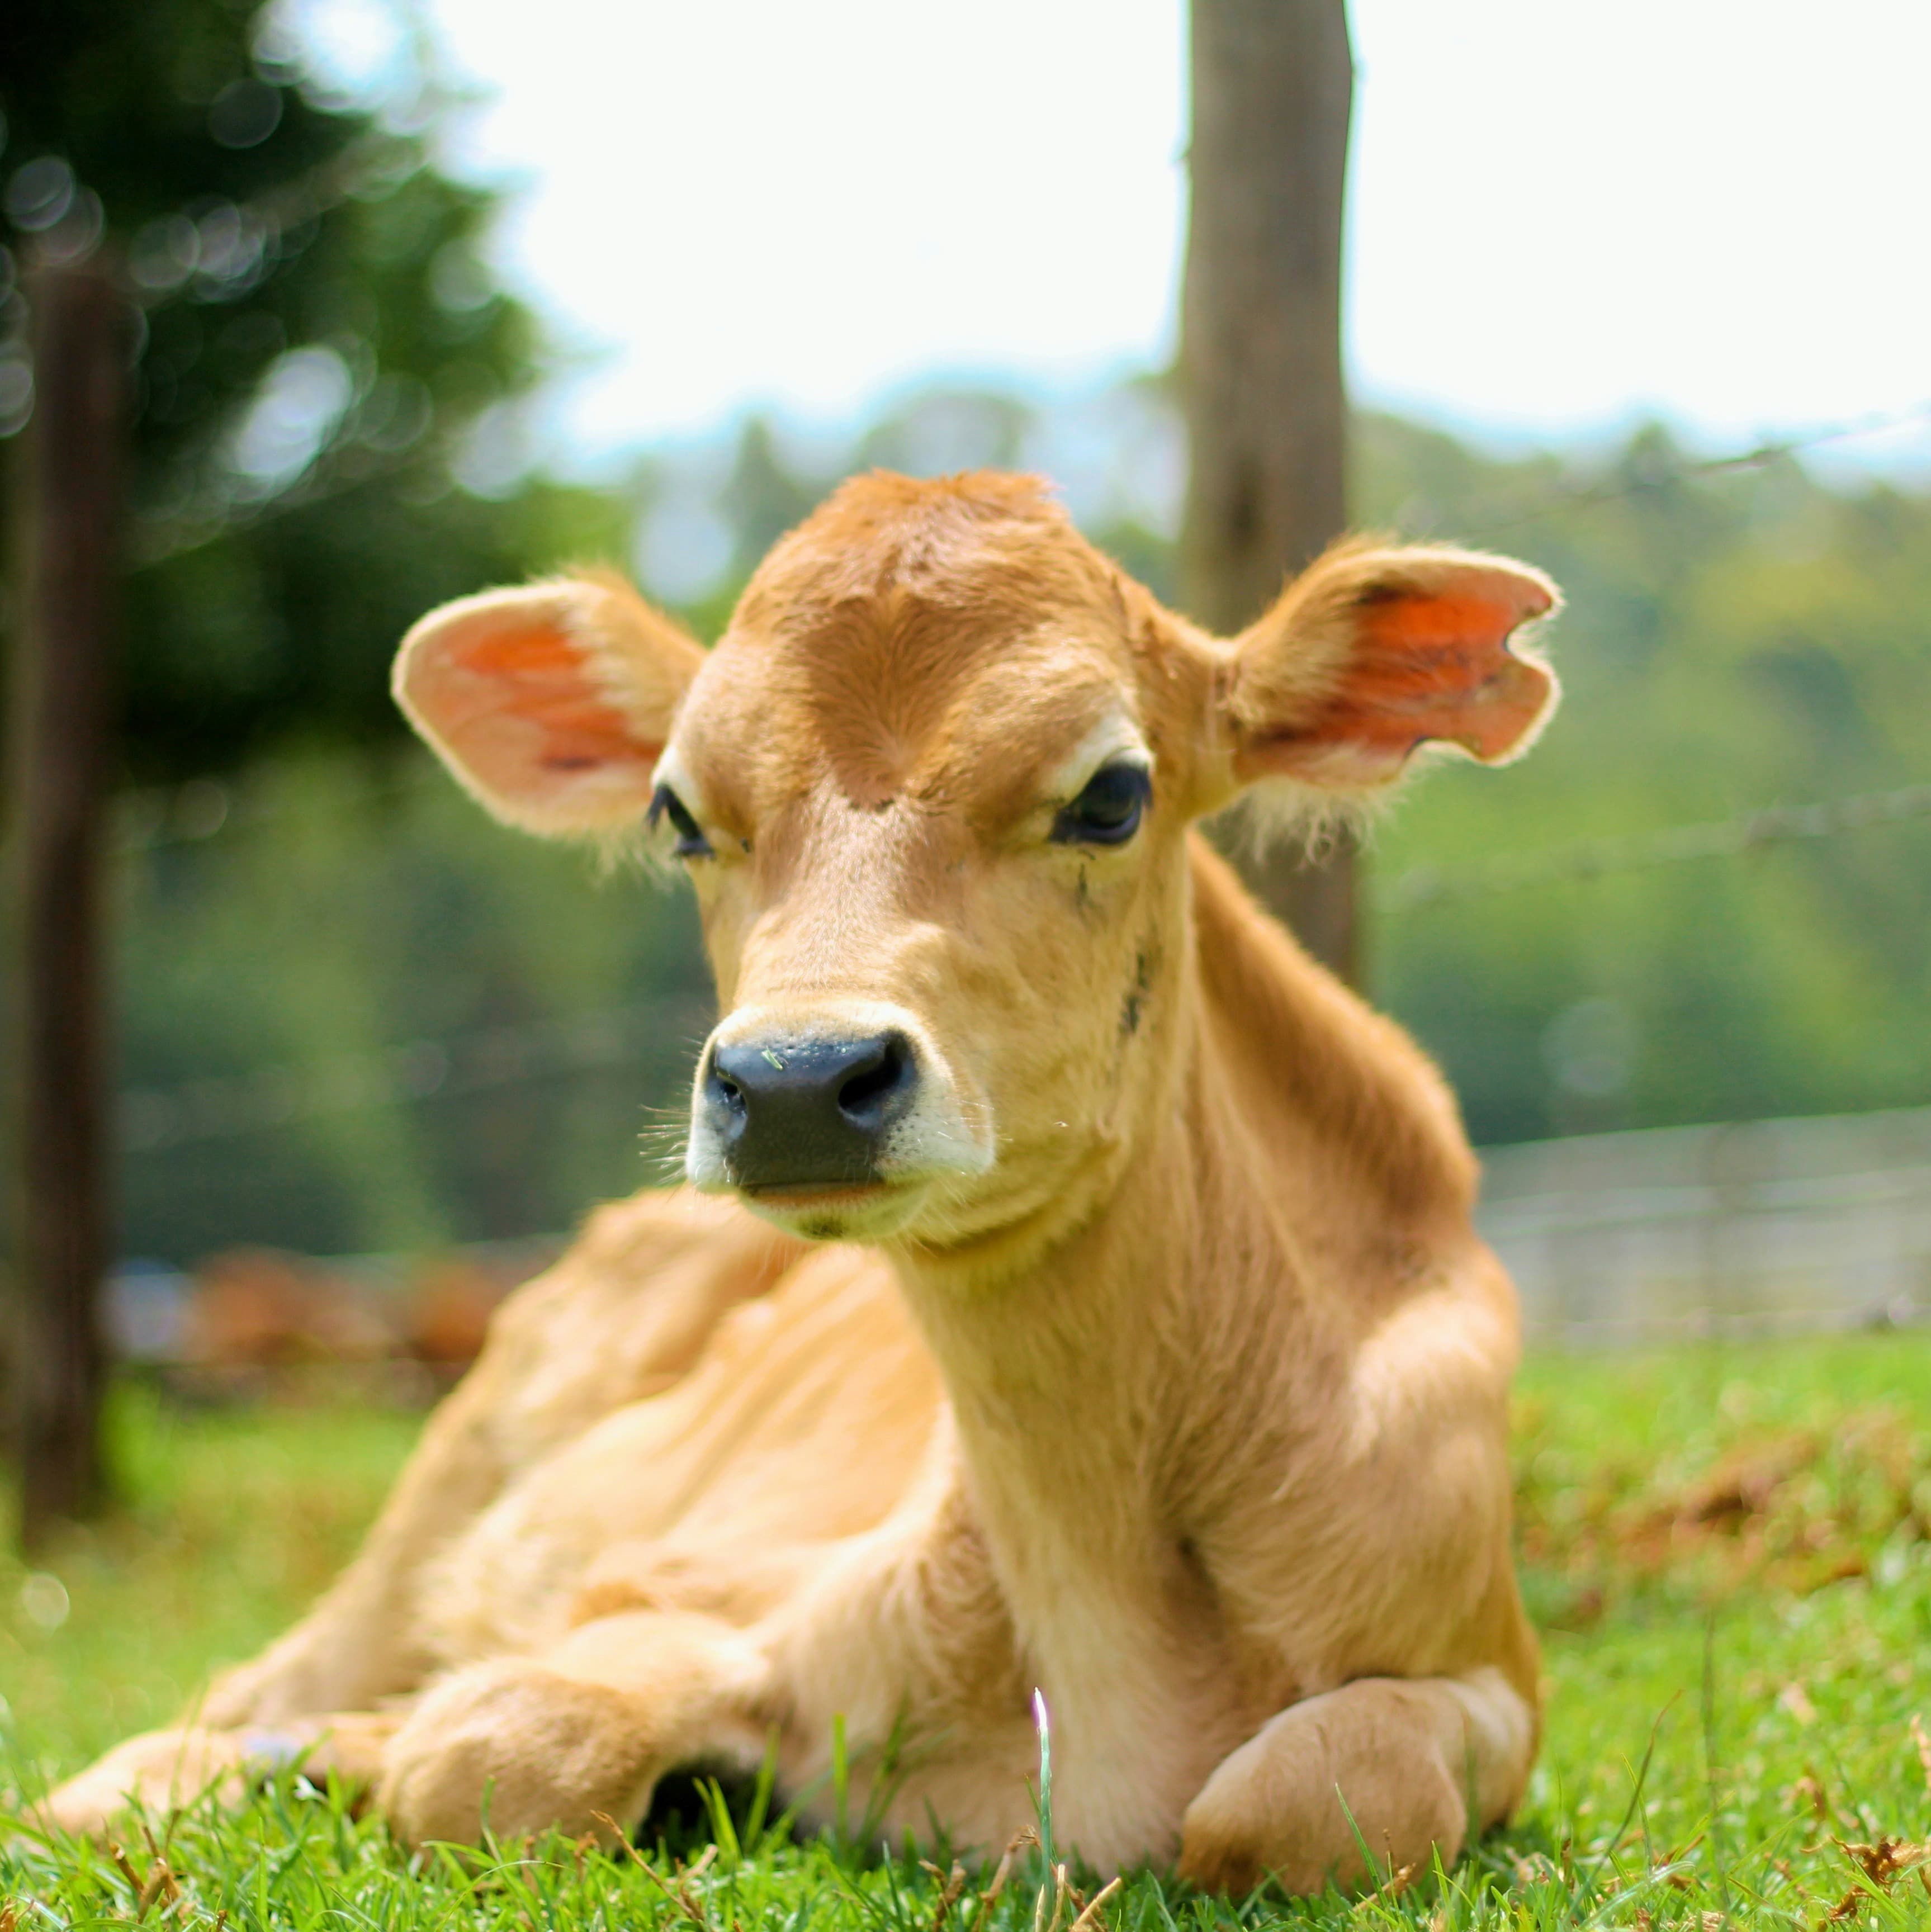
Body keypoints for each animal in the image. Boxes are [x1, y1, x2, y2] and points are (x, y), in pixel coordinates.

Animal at [47, 472, 1559, 1896]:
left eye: (1110, 793)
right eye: (676, 810)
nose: (791, 1080)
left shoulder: (1492, 1676)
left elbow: (1316, 1792)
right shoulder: (678, 1585)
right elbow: (507, 1749)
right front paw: (363, 1756)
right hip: (433, 1498)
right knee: (212, 1712)